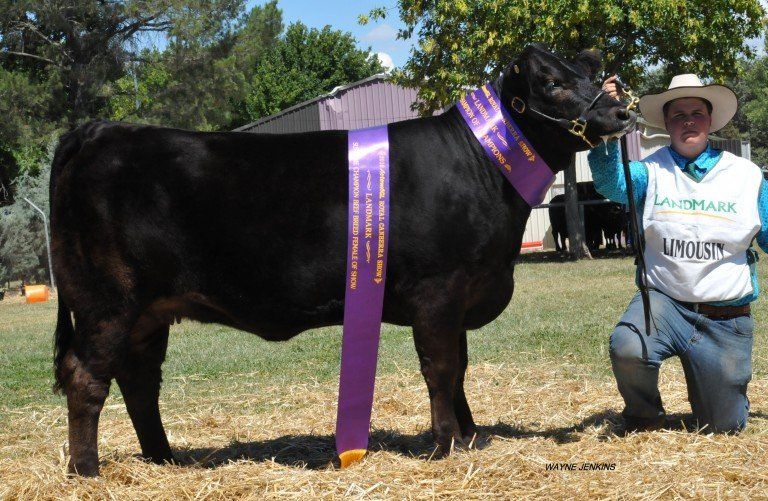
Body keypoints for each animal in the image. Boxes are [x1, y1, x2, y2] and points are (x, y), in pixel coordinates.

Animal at [50, 44, 635, 476]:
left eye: (592, 73)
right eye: (552, 83)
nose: (619, 110)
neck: (482, 167)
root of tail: (99, 129)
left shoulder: (462, 290)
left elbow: (460, 368)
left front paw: (469, 435)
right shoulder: (439, 291)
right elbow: (441, 367)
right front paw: (444, 443)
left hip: (149, 311)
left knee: (140, 380)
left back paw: (163, 459)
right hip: (107, 301)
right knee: (86, 376)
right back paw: (87, 471)